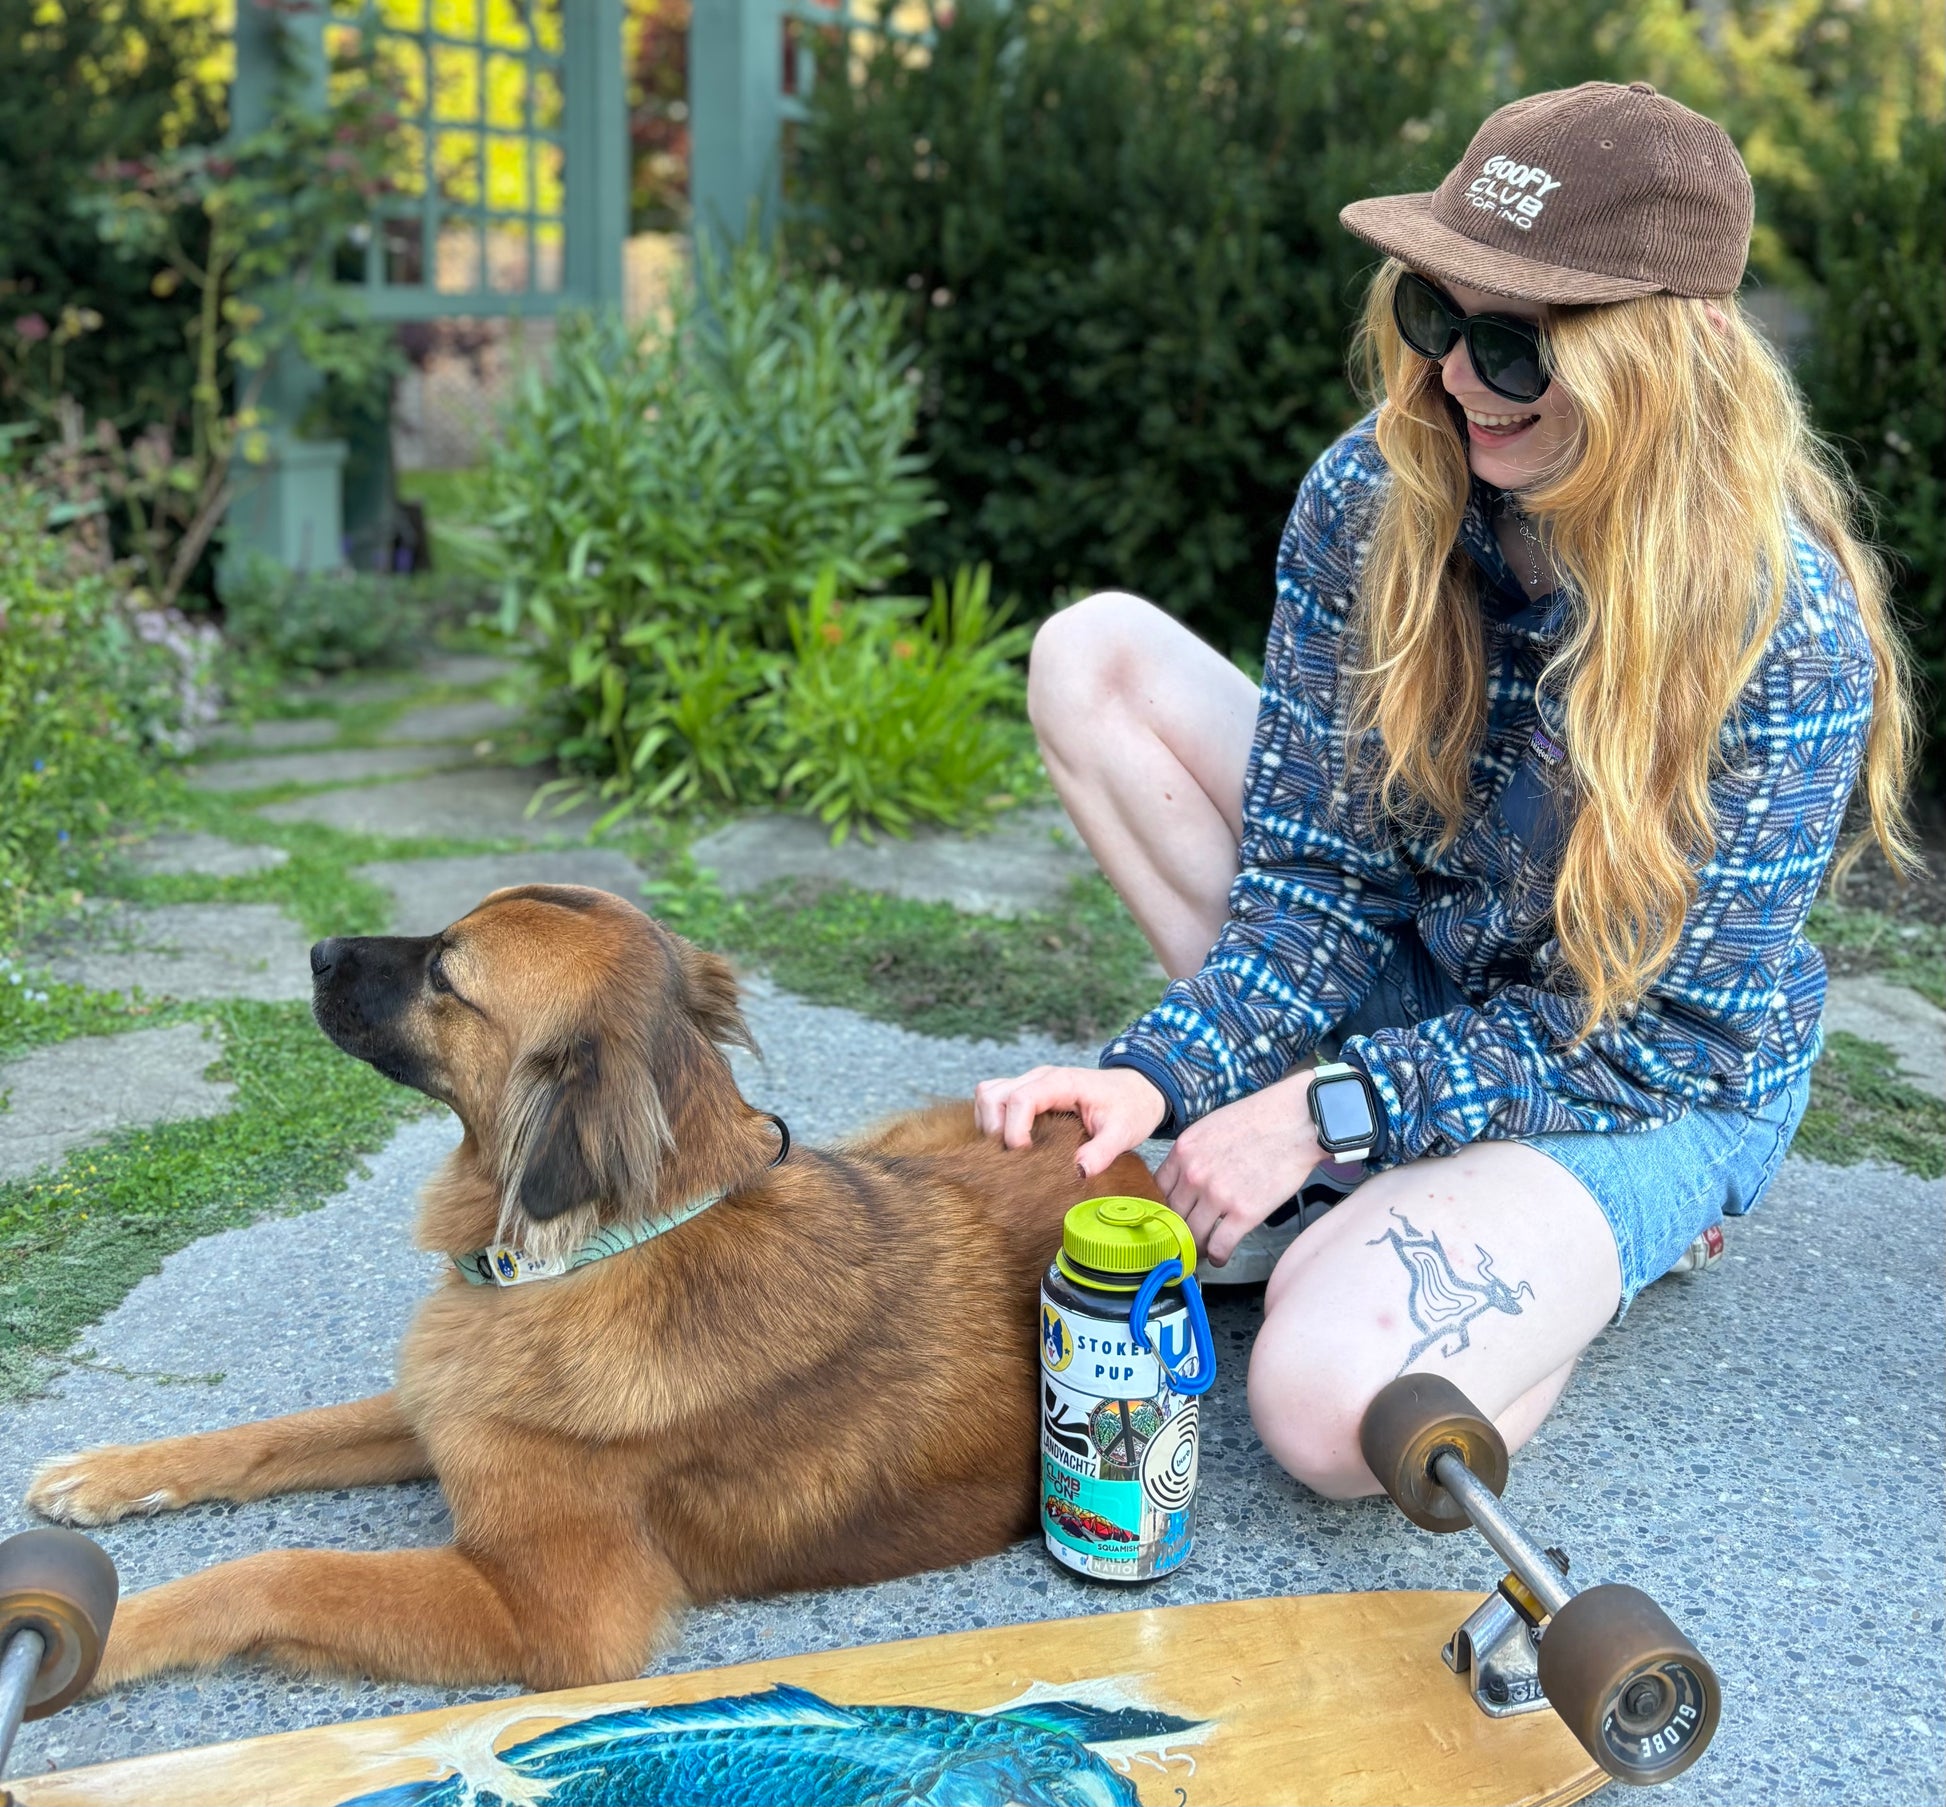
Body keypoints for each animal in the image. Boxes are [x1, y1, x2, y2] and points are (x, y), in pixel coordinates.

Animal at [26, 886, 1152, 1696]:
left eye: (446, 971)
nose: (315, 948)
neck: (597, 1243)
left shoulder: (552, 1614)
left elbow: (278, 1570)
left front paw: (109, 1633)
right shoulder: (446, 1404)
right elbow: (276, 1434)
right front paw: (112, 1472)